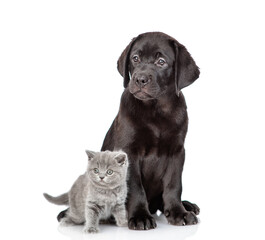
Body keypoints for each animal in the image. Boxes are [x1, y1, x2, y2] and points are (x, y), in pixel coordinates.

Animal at [57, 31, 198, 229]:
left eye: (161, 61)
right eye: (135, 58)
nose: (140, 79)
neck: (156, 110)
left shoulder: (177, 151)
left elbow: (174, 184)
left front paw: (178, 212)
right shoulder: (129, 151)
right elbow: (135, 186)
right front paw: (140, 216)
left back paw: (188, 205)